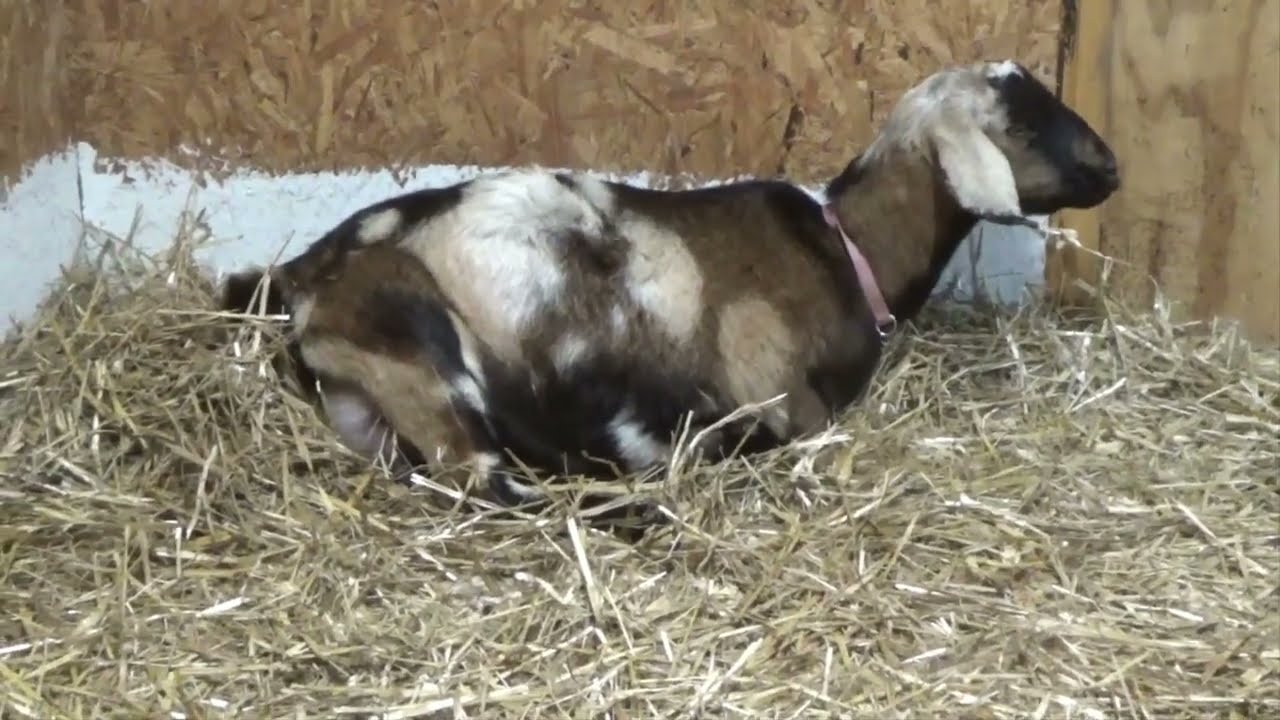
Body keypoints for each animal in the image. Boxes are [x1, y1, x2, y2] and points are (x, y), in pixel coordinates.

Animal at [222, 59, 1120, 536]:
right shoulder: (782, 398)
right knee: (485, 481)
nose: (1112, 169)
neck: (845, 246)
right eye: (1022, 126)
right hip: (420, 348)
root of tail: (303, 280)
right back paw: (635, 510)